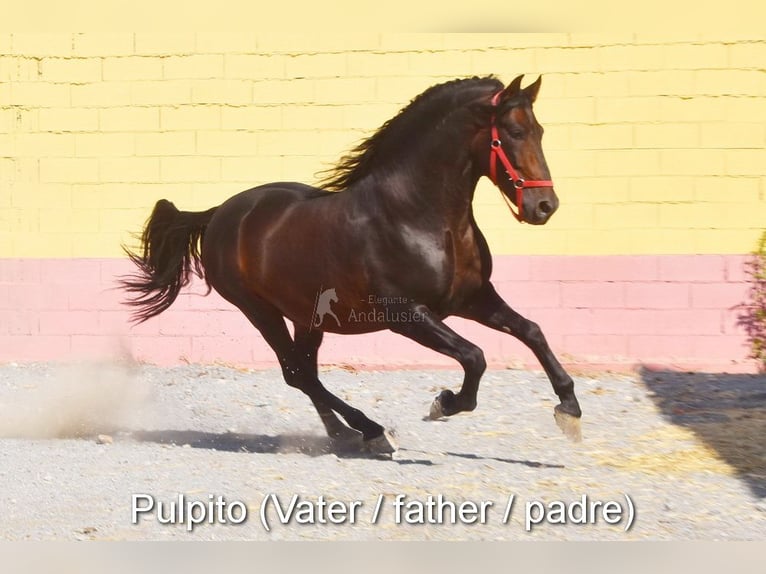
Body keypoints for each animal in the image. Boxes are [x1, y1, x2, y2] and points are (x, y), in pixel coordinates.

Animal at [123, 75, 584, 454]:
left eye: (539, 131)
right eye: (514, 132)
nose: (545, 206)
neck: (418, 215)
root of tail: (218, 213)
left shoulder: (471, 299)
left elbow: (532, 331)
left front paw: (569, 410)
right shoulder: (406, 314)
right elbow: (475, 356)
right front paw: (443, 403)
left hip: (306, 316)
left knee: (303, 372)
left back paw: (346, 434)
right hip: (259, 310)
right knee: (297, 372)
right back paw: (371, 431)